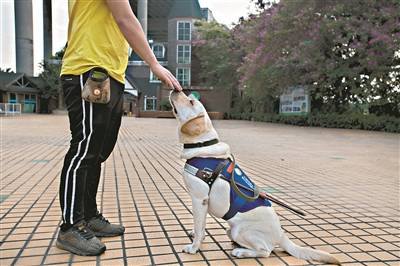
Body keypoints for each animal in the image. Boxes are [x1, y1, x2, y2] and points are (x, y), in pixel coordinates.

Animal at [169, 90, 340, 264]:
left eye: (191, 102)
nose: (176, 89)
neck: (203, 145)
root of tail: (281, 235)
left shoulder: (199, 199)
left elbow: (199, 228)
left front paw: (193, 248)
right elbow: (200, 226)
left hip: (240, 231)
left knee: (266, 251)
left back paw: (240, 252)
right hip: (231, 230)